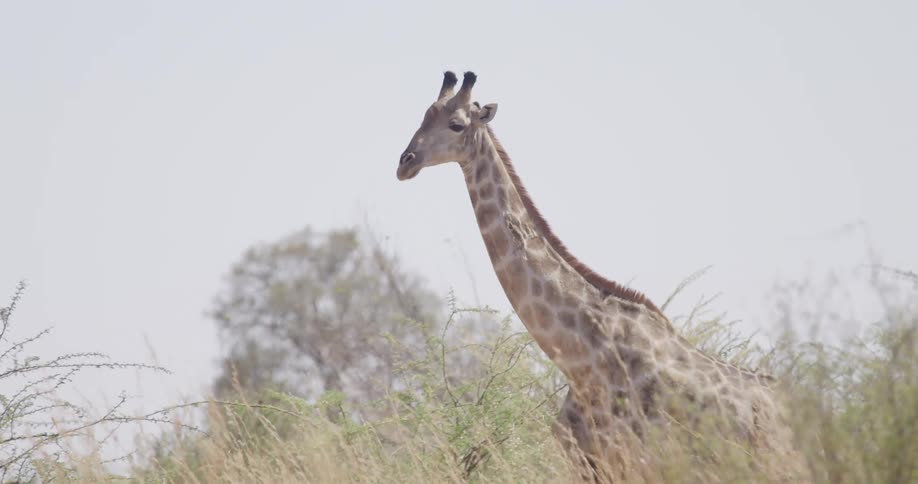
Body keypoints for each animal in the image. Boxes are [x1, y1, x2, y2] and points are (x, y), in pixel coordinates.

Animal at [396, 71, 806, 482]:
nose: (405, 162)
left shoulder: (638, 460)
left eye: (456, 124)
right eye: (423, 116)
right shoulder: (585, 462)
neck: (580, 358)